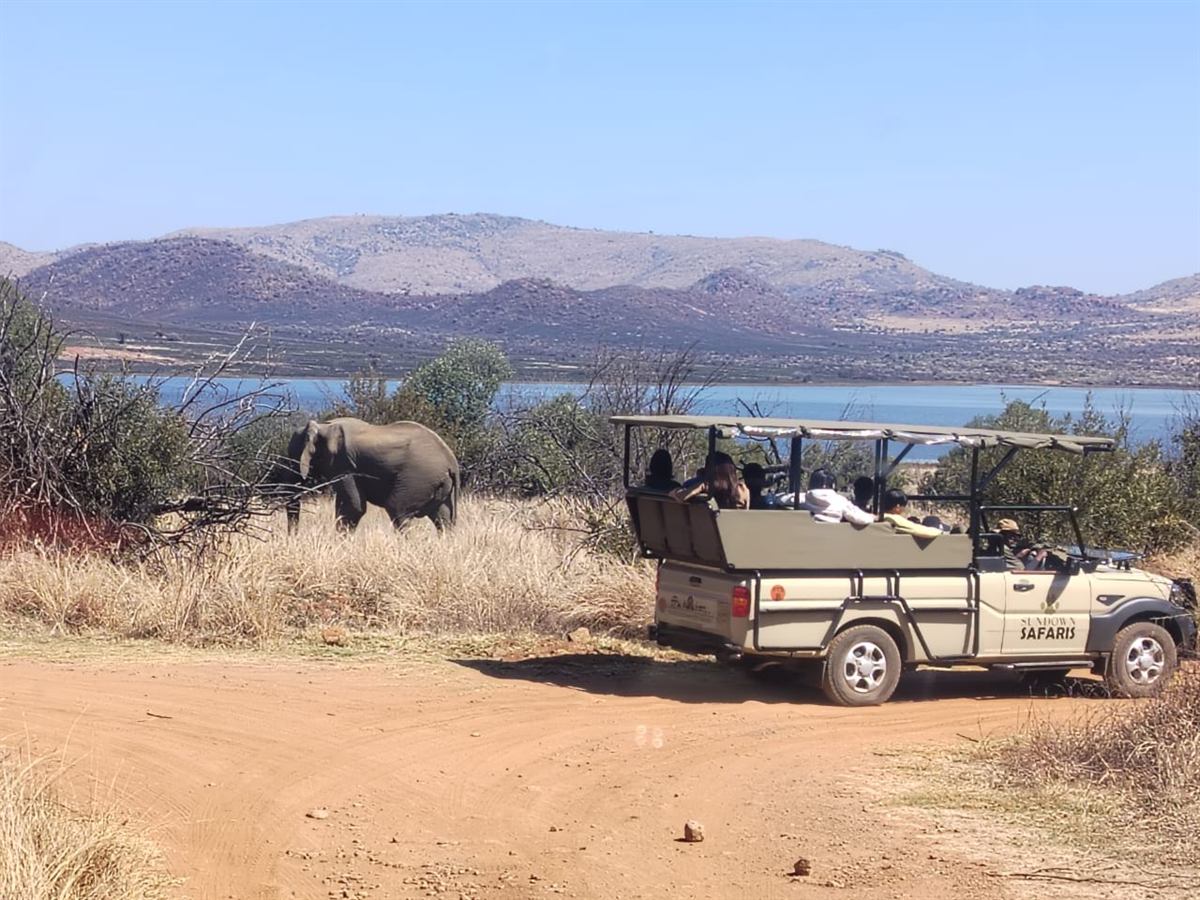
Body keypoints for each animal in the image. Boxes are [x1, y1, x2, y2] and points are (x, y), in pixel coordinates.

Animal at [278, 417, 459, 533]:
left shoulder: (344, 465)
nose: (293, 538)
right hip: (439, 485)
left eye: (292, 458)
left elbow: (354, 507)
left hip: (417, 479)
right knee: (444, 520)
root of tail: (452, 463)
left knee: (398, 510)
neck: (324, 426)